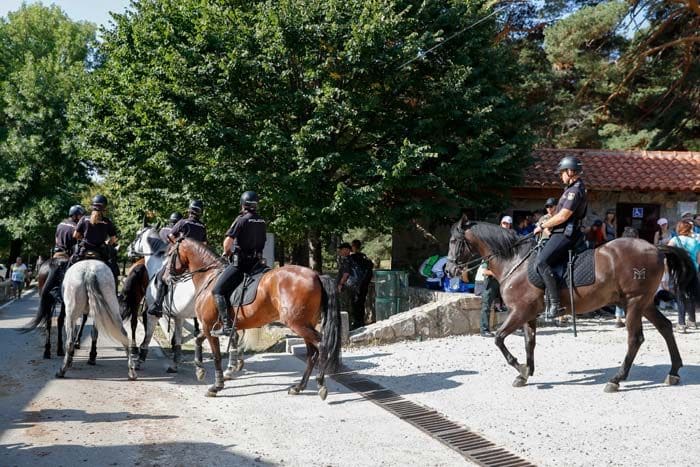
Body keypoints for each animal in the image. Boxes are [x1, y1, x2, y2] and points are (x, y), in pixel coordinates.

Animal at [128, 228, 243, 380]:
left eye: (137, 236)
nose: (128, 249)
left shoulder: (152, 315)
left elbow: (147, 338)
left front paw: (139, 361)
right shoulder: (179, 317)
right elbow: (177, 342)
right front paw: (175, 365)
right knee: (236, 335)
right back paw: (233, 365)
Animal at [164, 239, 340, 400]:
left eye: (170, 254)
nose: (165, 278)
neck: (209, 277)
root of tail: (316, 275)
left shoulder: (208, 326)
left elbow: (216, 356)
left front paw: (216, 386)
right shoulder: (211, 327)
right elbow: (198, 340)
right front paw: (200, 369)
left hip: (298, 324)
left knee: (322, 346)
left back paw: (320, 384)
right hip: (305, 325)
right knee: (312, 354)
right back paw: (299, 387)